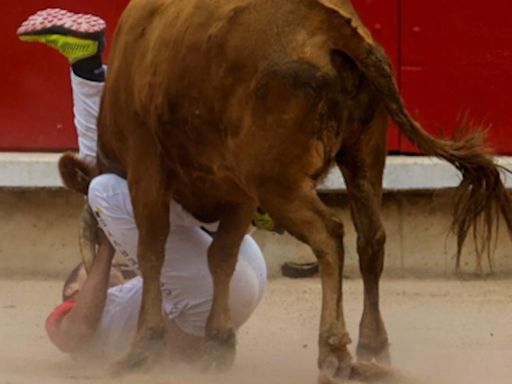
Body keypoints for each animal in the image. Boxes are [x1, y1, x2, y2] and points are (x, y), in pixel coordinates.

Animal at [62, 0, 512, 380]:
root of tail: (335, 30)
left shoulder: (148, 169)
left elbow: (154, 251)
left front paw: (144, 347)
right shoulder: (239, 193)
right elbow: (221, 257)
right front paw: (218, 343)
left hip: (278, 179)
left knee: (330, 234)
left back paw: (333, 353)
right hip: (364, 155)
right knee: (371, 239)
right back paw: (373, 345)